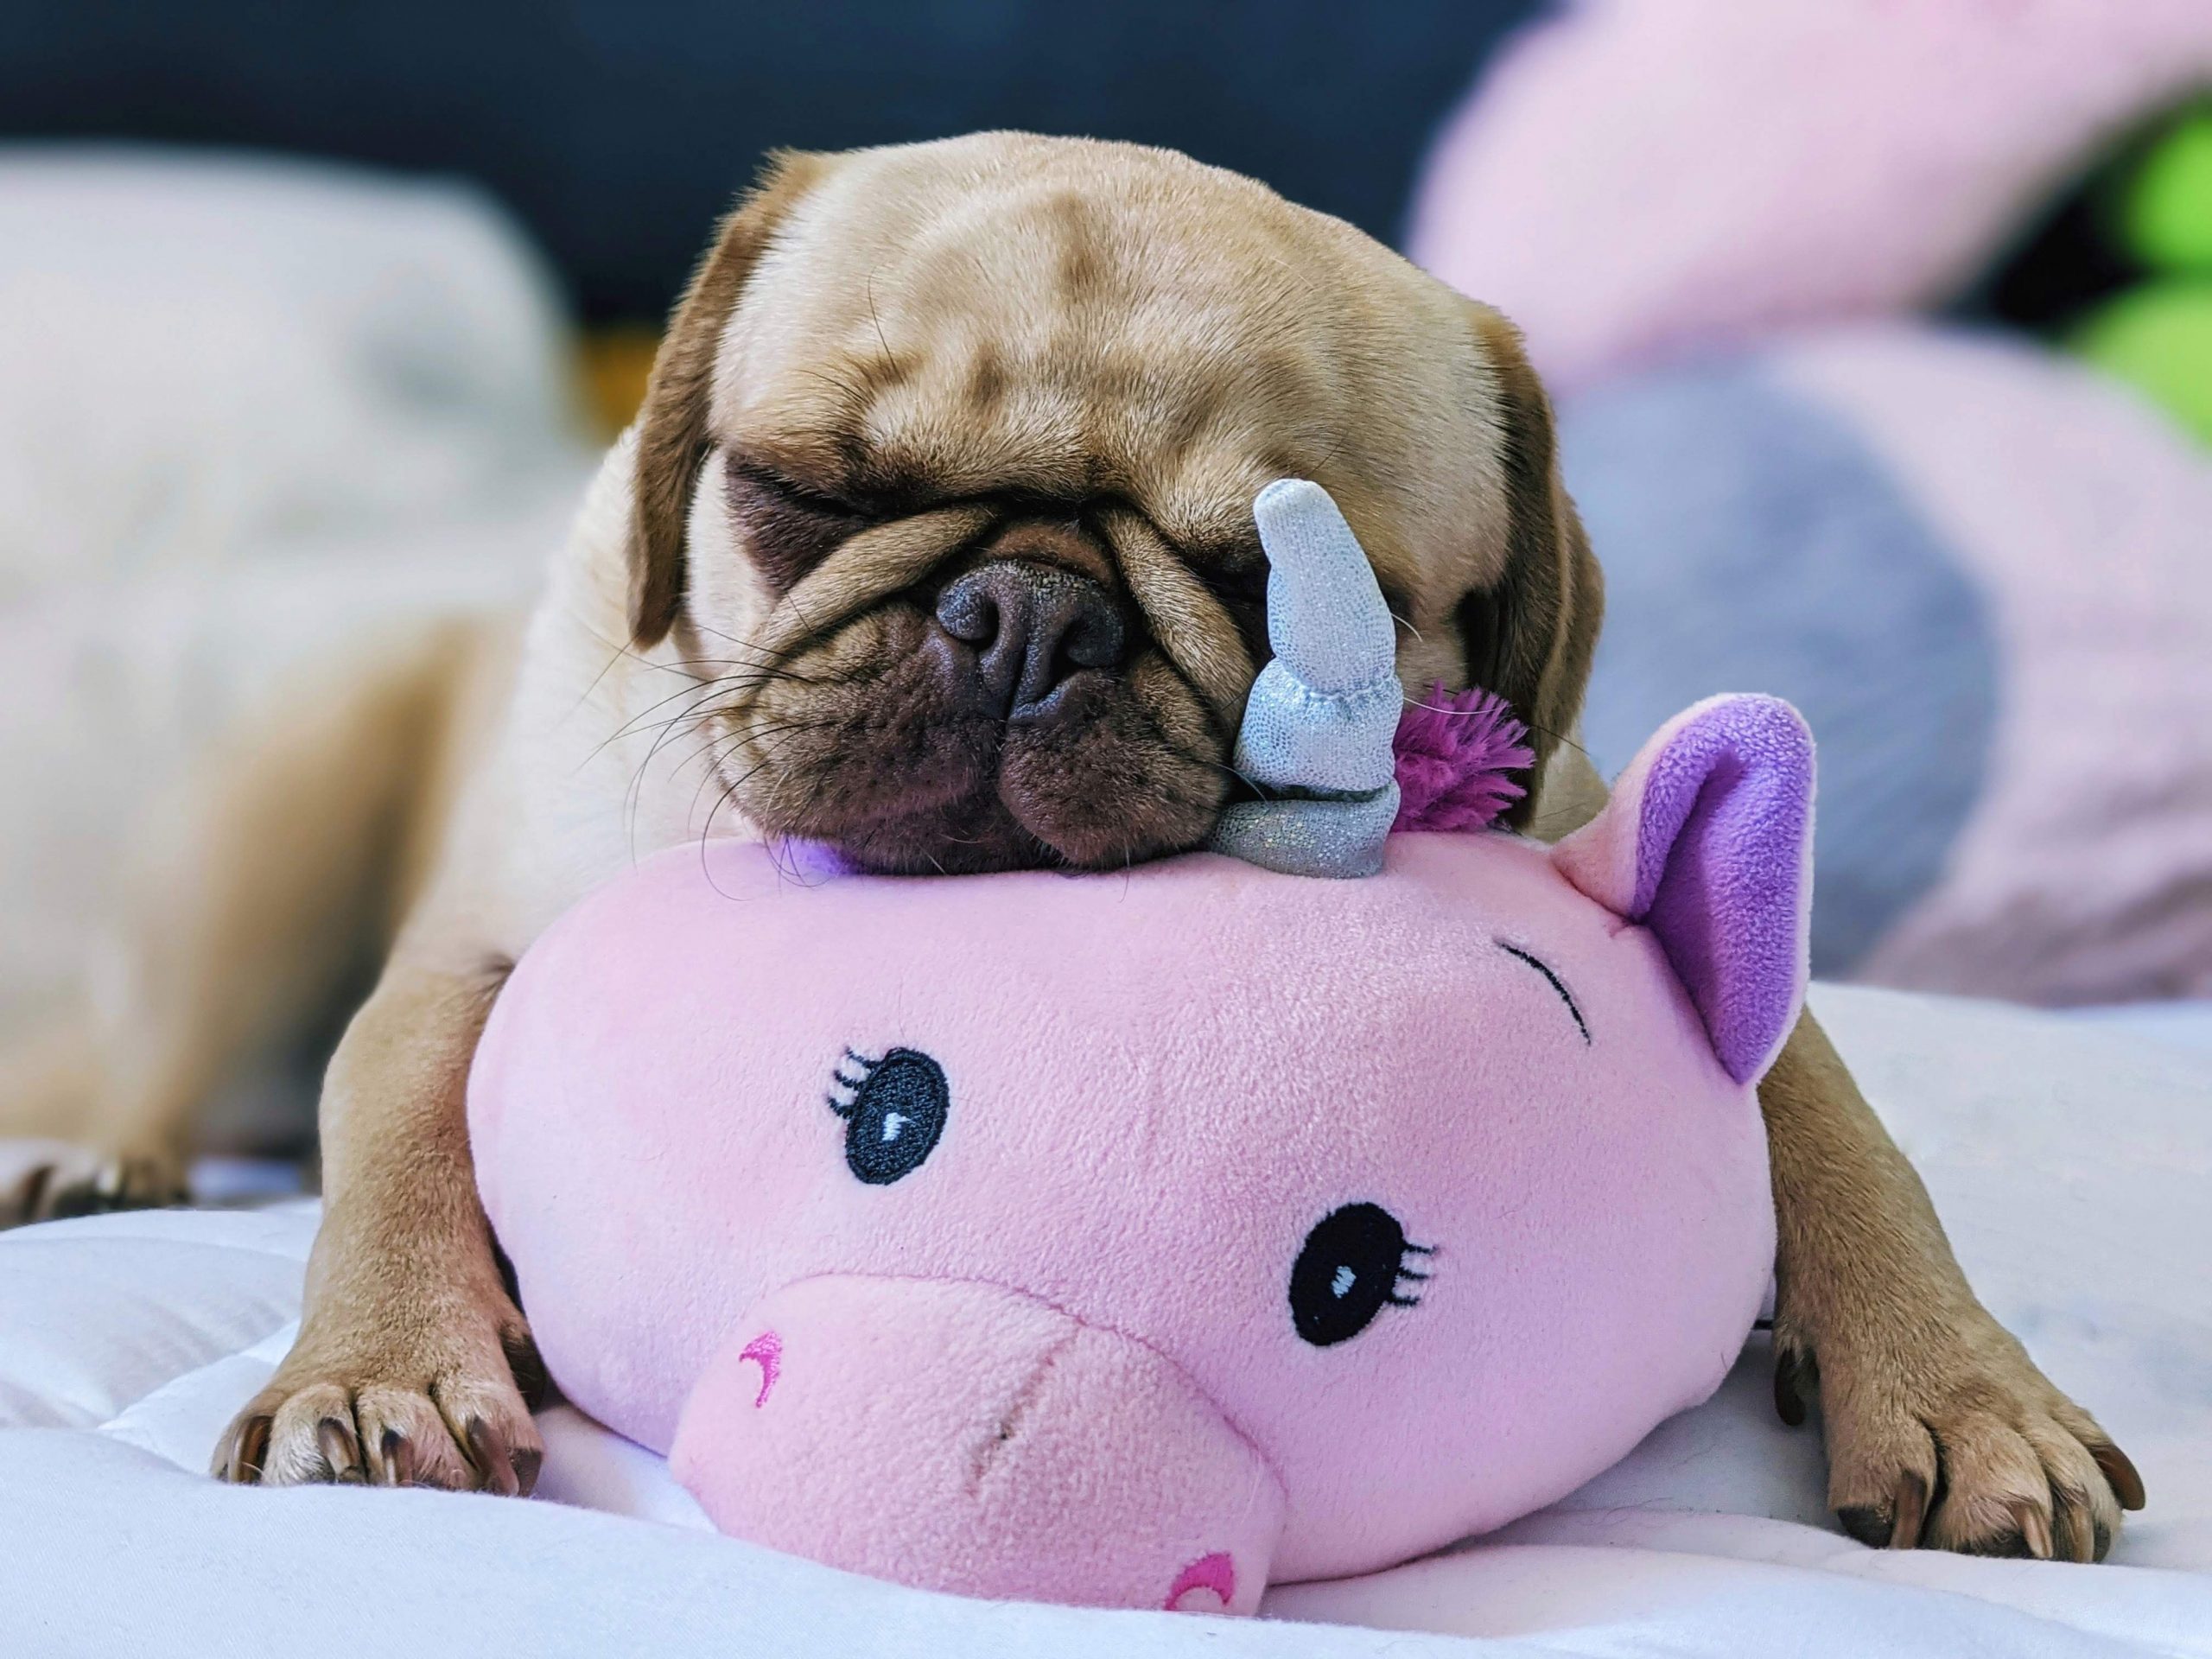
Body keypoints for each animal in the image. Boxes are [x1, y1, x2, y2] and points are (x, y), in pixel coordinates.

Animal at [133, 130, 2123, 1557]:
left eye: (1284, 584)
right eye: (803, 494)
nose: (1024, 611)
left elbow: (1841, 1141)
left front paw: (1962, 1390)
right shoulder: (464, 961)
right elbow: (393, 1125)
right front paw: (381, 1363)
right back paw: (106, 1157)